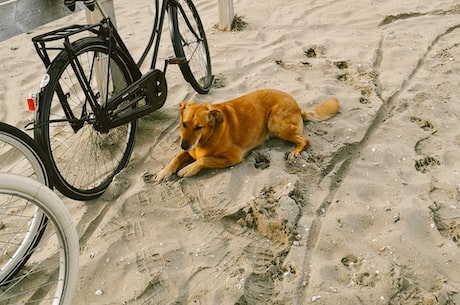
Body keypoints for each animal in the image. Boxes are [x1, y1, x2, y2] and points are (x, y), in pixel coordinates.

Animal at [156, 89, 340, 180]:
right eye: (184, 124)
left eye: (198, 127)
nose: (184, 145)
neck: (208, 136)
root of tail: (296, 105)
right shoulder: (189, 150)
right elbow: (177, 157)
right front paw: (165, 171)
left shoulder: (233, 157)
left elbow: (204, 160)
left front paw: (188, 169)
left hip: (275, 123)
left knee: (305, 140)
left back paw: (296, 150)